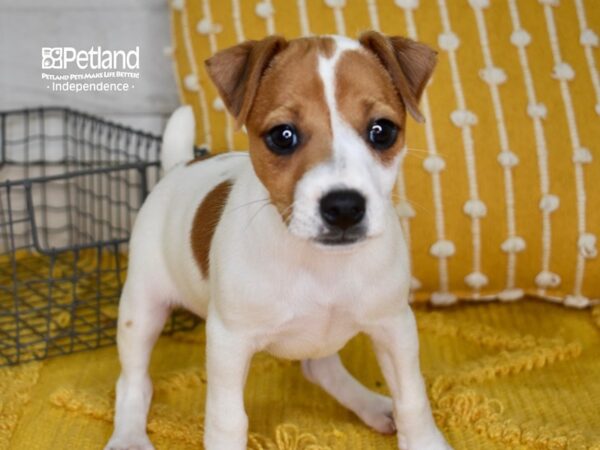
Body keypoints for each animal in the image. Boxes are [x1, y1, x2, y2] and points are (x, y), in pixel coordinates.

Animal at [105, 31, 450, 450]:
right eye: (283, 136)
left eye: (382, 131)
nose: (344, 207)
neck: (319, 264)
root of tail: (178, 167)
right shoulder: (228, 342)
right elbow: (228, 419)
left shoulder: (394, 326)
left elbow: (412, 399)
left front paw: (424, 440)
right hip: (142, 309)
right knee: (133, 381)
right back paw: (129, 436)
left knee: (320, 368)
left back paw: (370, 404)